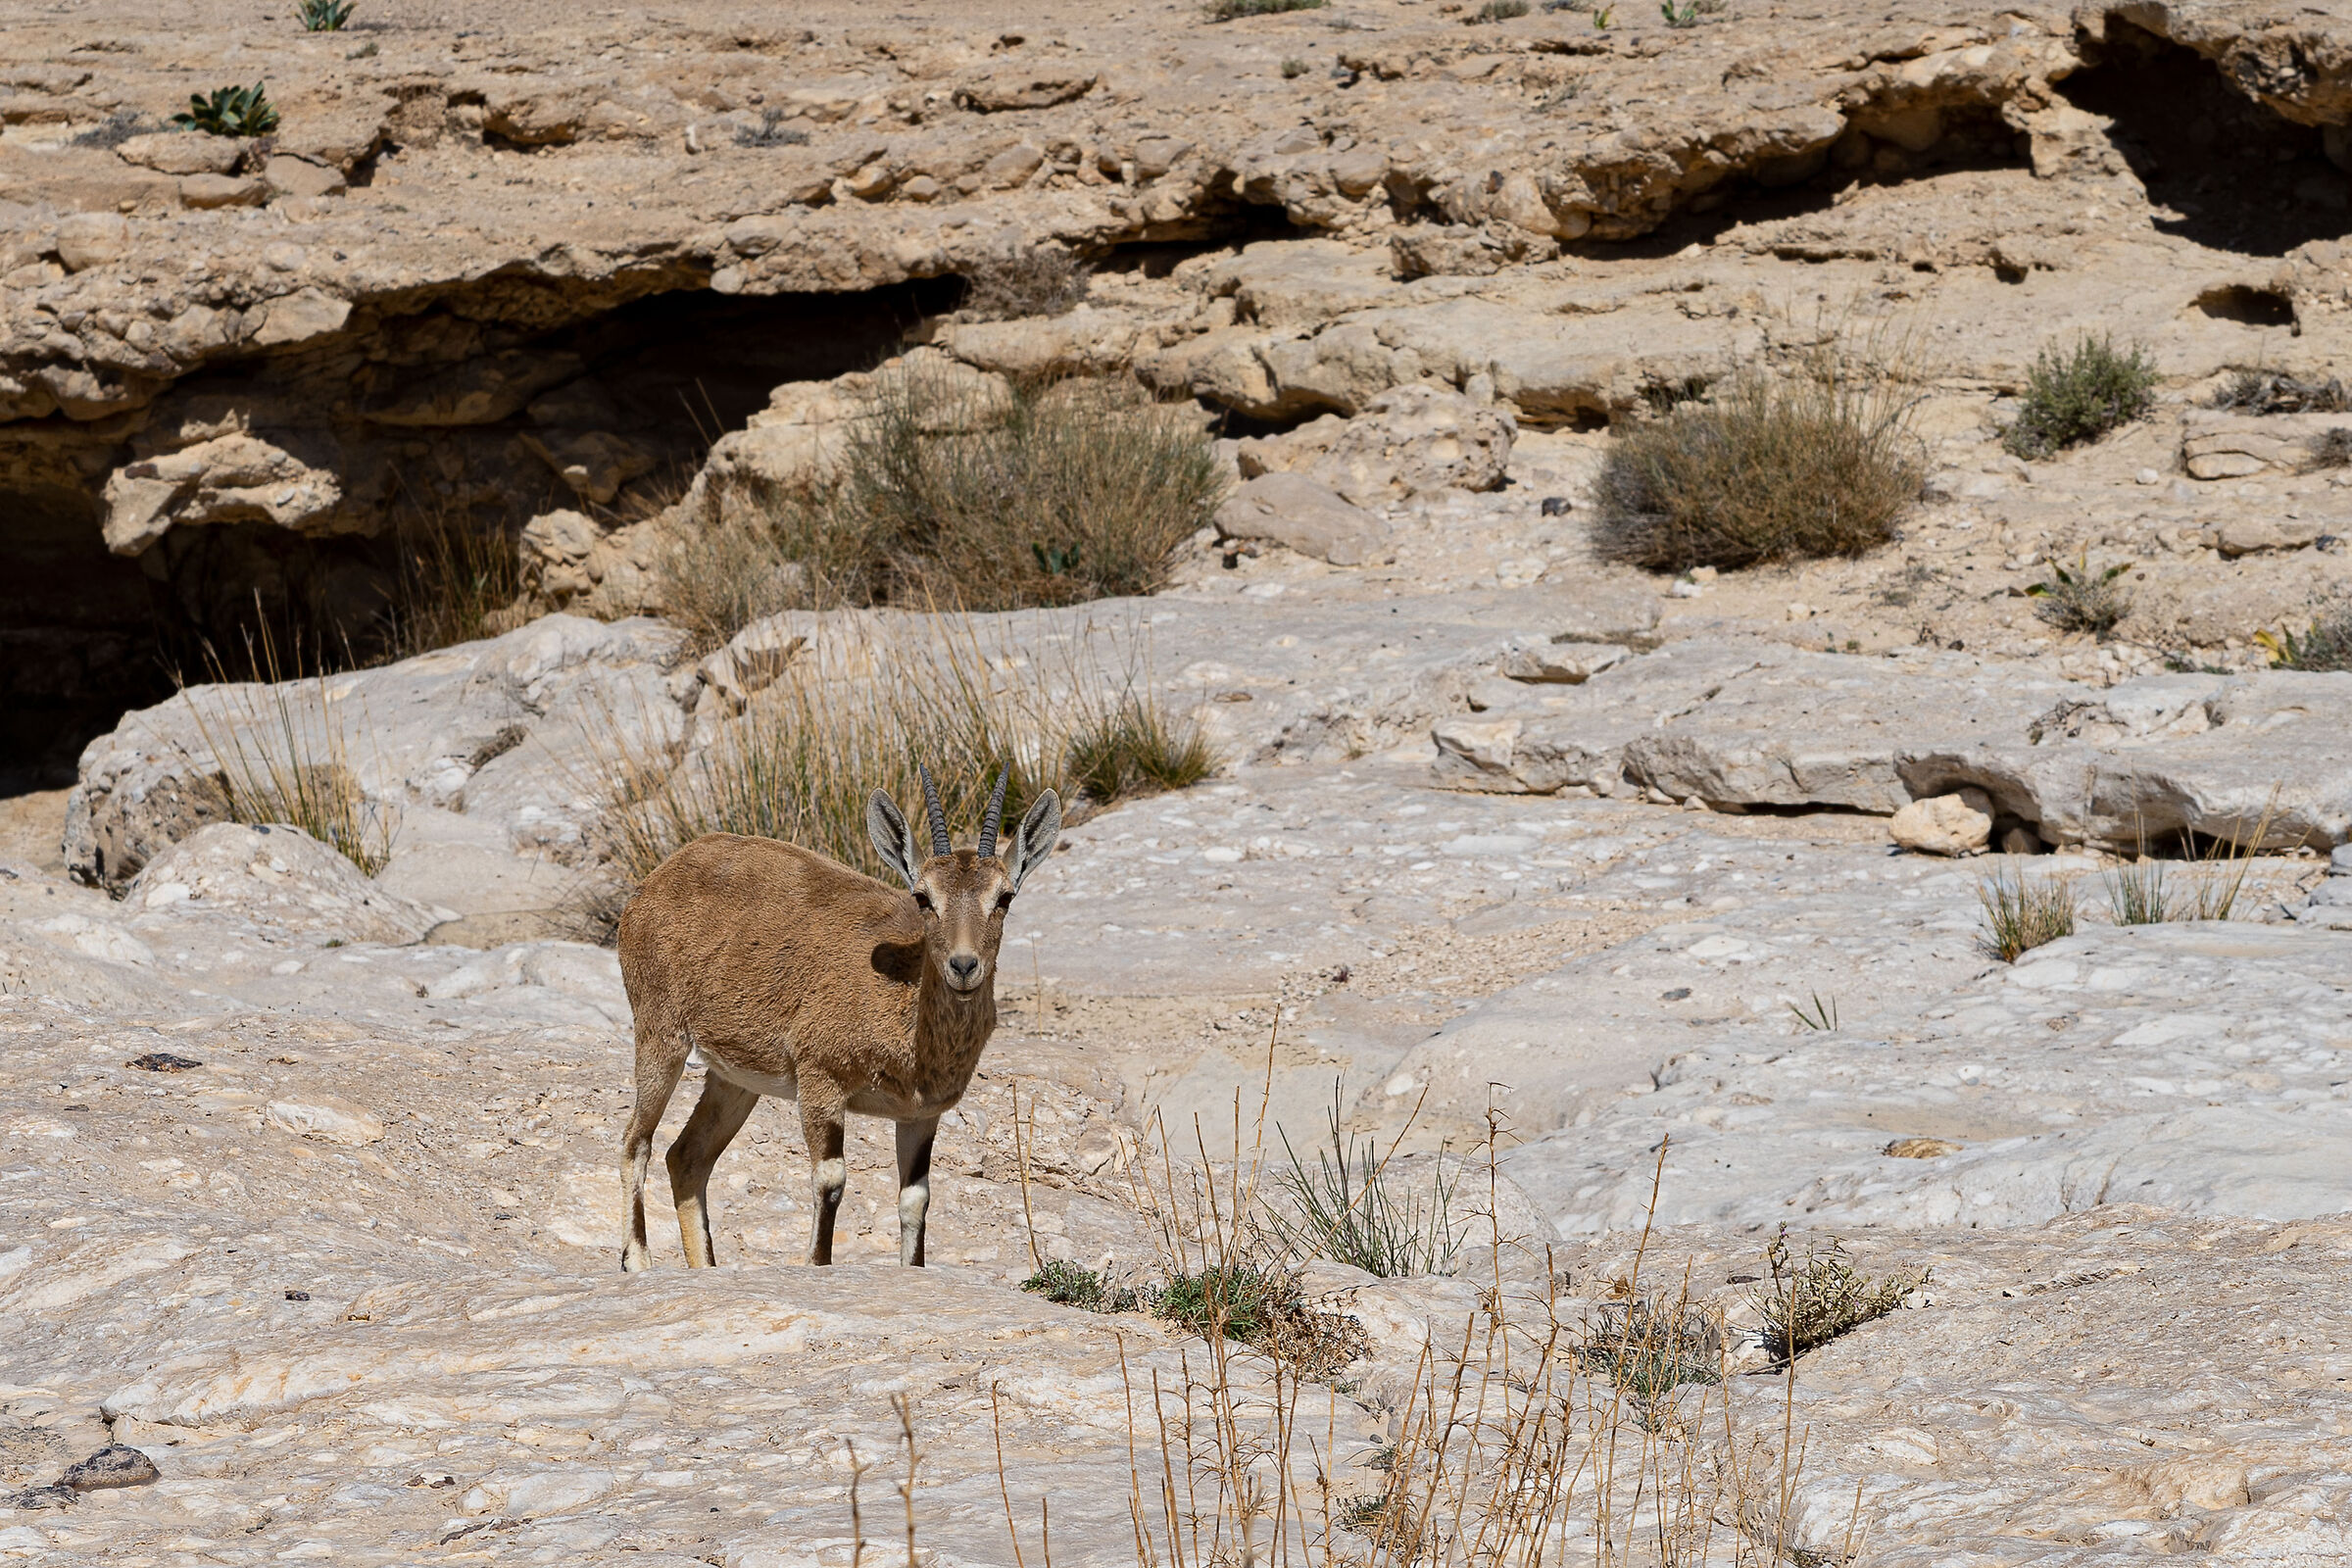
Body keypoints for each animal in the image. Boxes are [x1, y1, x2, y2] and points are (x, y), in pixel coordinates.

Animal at [616, 766, 1060, 1270]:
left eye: (1004, 897)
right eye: (923, 897)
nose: (963, 966)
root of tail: (655, 881)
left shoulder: (921, 1115)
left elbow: (915, 1199)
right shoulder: (820, 1081)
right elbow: (830, 1180)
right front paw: (817, 1263)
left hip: (735, 1079)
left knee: (686, 1157)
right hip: (660, 1033)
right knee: (636, 1141)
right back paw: (638, 1261)